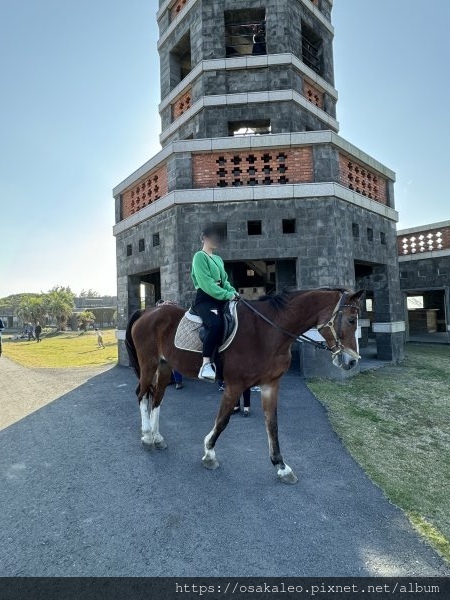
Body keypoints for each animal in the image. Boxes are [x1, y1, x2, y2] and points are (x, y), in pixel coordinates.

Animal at [125, 288, 364, 482]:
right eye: (352, 320)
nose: (352, 361)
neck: (267, 332)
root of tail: (147, 312)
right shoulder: (235, 385)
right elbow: (222, 420)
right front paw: (209, 453)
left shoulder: (270, 385)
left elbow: (272, 425)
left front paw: (281, 466)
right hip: (148, 364)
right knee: (141, 394)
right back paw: (147, 436)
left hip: (164, 366)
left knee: (156, 398)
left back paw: (157, 437)